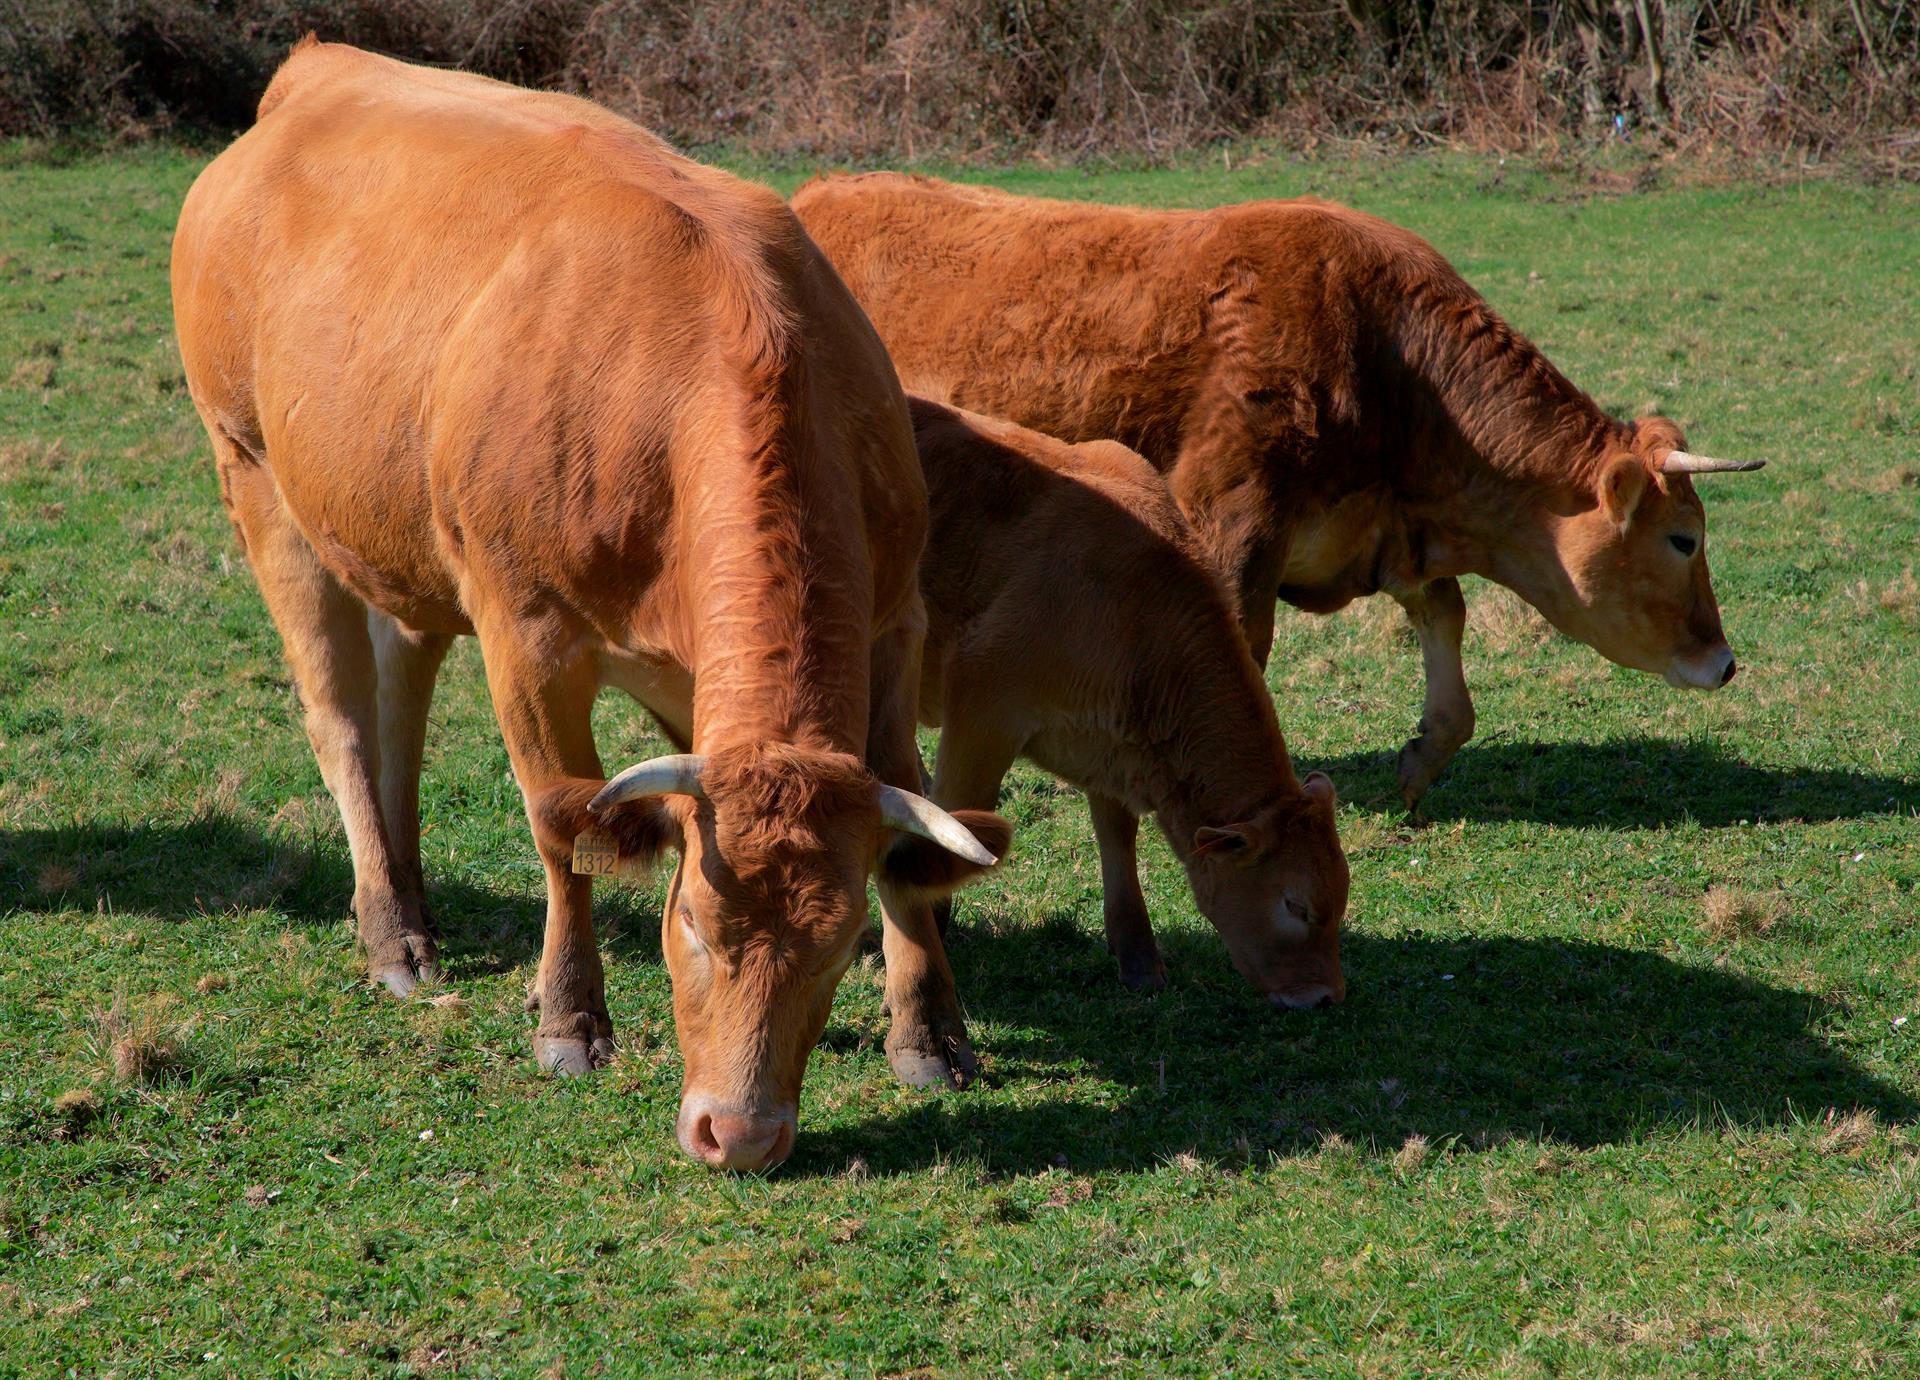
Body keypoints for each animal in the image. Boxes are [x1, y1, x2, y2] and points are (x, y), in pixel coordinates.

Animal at [174, 40, 1013, 1174]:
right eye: (691, 923)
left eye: (838, 946)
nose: (740, 1134)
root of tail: (320, 67)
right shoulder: (528, 634)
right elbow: (561, 823)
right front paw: (570, 1019)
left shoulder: (890, 624)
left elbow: (907, 823)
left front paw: (929, 1031)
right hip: (256, 475)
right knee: (340, 716)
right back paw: (391, 931)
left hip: (394, 531)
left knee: (400, 699)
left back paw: (417, 904)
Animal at [787, 178, 1758, 813]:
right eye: (1684, 540)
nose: (1724, 662)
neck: (1392, 361)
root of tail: (819, 193)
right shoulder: (1233, 516)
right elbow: (1245, 644)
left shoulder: (1380, 529)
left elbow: (1443, 617)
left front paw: (1422, 756)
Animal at [913, 399, 1351, 1005]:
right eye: (1295, 905)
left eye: (1342, 898)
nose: (1327, 994)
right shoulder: (983, 711)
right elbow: (956, 820)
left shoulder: (1108, 741)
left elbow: (1117, 835)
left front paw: (1139, 957)